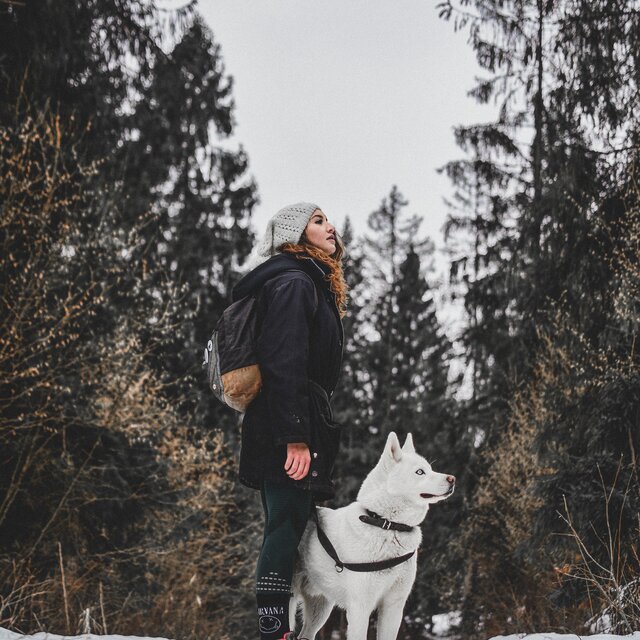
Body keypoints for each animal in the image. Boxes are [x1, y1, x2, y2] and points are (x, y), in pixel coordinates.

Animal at [290, 432, 456, 636]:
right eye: (420, 472)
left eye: (431, 469)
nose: (452, 479)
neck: (387, 525)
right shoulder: (360, 608)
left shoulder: (394, 608)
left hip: (320, 609)